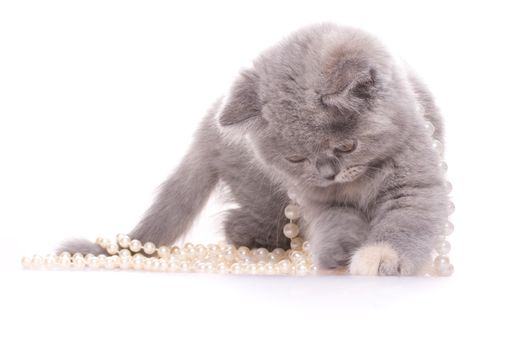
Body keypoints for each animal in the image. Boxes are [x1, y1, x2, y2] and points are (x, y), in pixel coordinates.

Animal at [60, 23, 446, 276]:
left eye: (347, 146)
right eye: (295, 157)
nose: (327, 173)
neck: (360, 179)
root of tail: (207, 128)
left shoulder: (416, 183)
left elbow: (405, 221)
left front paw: (379, 257)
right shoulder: (319, 199)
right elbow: (335, 222)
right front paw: (338, 253)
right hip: (264, 194)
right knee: (237, 222)